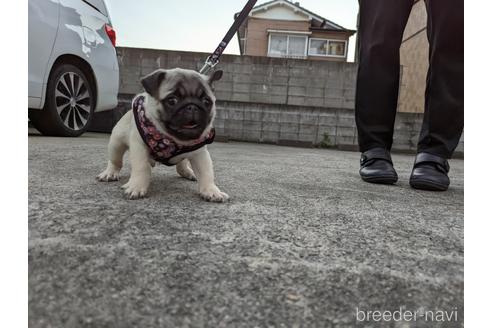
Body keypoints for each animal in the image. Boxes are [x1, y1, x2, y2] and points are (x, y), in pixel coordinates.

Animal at [97, 67, 230, 201]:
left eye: (207, 102)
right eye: (172, 100)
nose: (192, 106)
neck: (173, 140)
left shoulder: (199, 153)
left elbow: (206, 172)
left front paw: (211, 191)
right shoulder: (139, 148)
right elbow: (141, 167)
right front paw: (136, 187)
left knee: (181, 164)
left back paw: (188, 172)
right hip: (116, 144)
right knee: (115, 161)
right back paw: (110, 173)